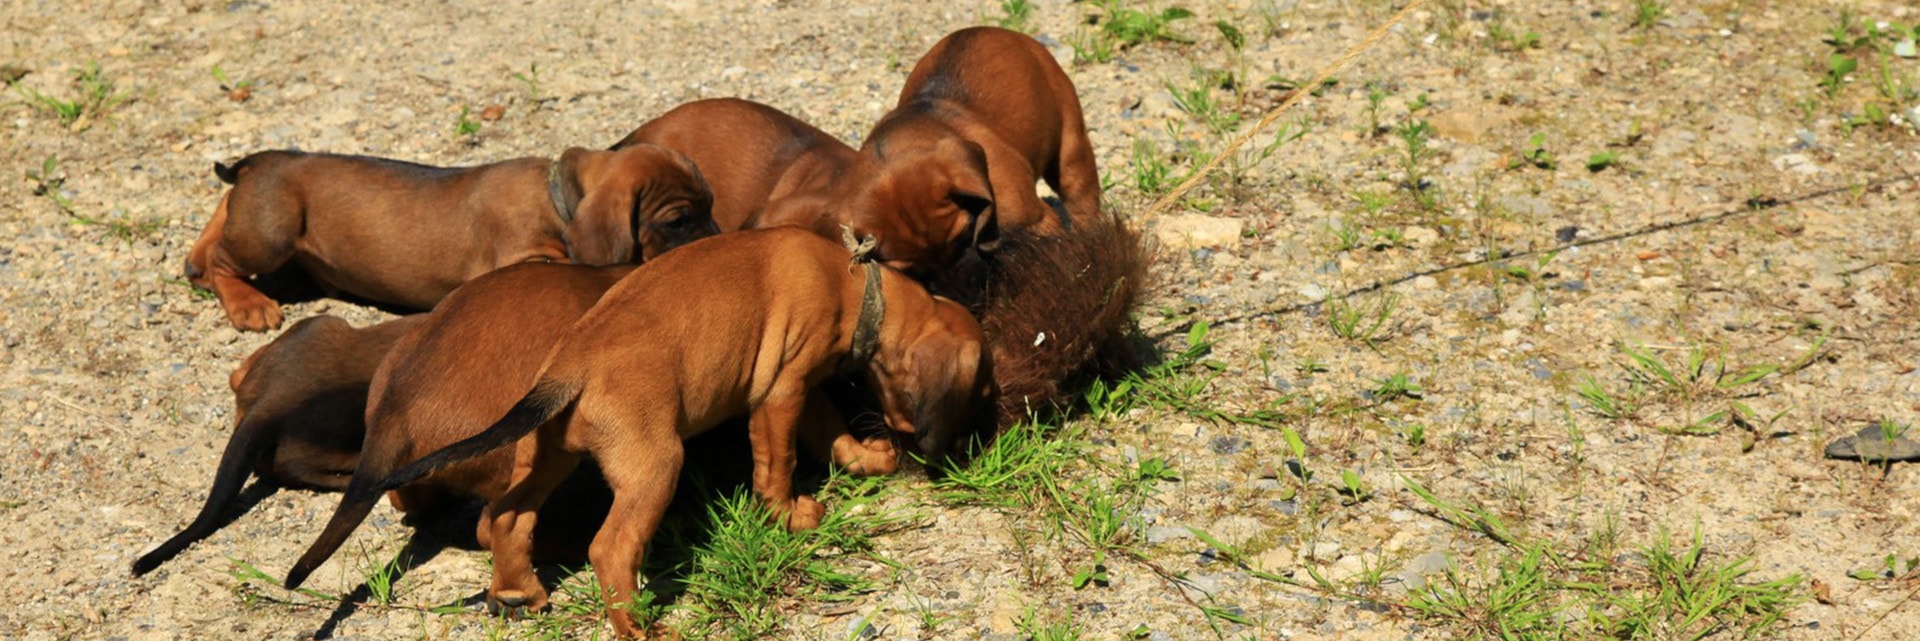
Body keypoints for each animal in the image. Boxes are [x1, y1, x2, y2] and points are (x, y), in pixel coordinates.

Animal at [185, 143, 721, 330]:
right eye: (678, 222)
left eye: (712, 205)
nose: (721, 238)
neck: (555, 196)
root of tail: (264, 159)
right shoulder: (519, 259)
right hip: (272, 230)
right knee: (222, 263)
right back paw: (246, 303)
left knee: (222, 216)